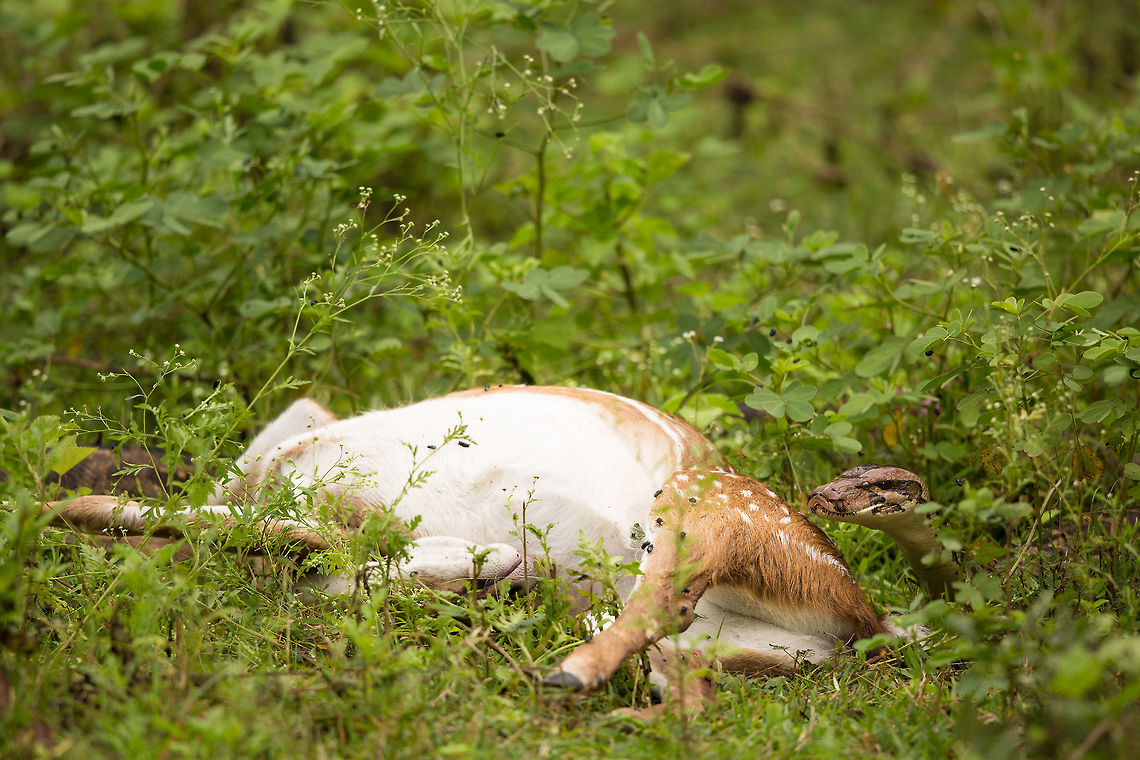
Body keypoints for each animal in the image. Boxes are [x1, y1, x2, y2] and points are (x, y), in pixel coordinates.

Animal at [37, 384, 956, 714]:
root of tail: (871, 618)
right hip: (751, 632)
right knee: (681, 664)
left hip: (706, 503)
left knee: (663, 600)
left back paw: (562, 665)